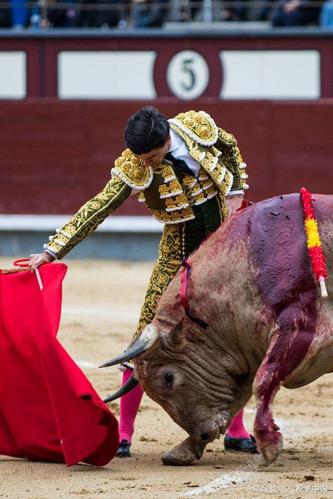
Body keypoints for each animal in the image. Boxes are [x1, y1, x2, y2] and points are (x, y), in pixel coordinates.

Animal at [102, 193, 332, 466]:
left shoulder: (299, 328)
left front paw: (268, 444)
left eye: (168, 378)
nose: (202, 432)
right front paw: (184, 450)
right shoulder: (245, 355)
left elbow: (263, 382)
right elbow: (239, 396)